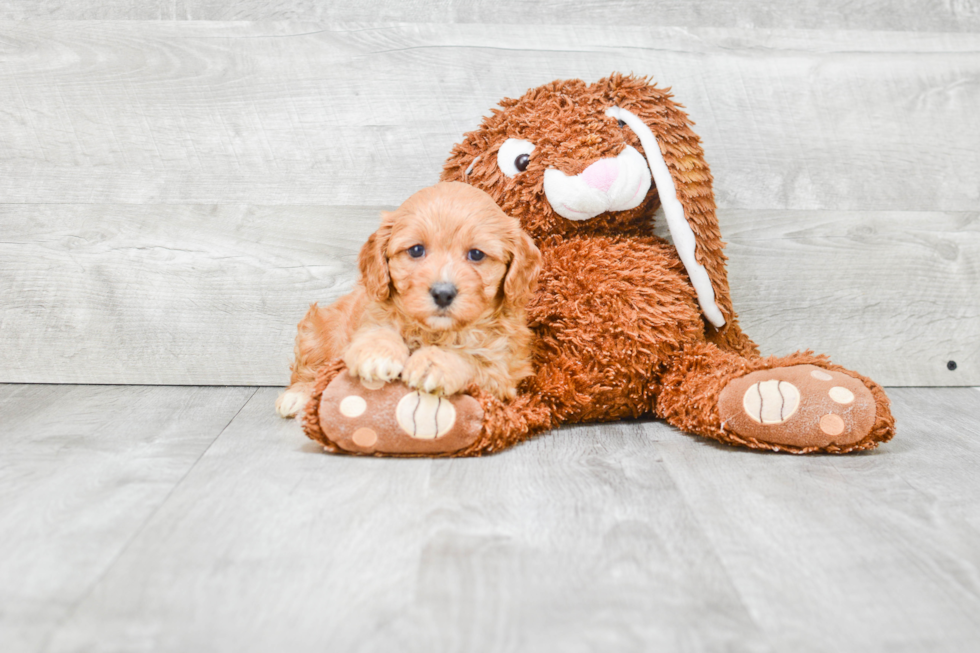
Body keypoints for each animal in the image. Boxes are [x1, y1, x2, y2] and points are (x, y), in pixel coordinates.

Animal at [276, 182, 540, 418]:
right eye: (416, 250)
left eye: (476, 254)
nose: (443, 293)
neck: (435, 332)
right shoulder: (372, 315)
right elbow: (378, 330)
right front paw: (377, 354)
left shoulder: (502, 371)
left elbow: (471, 358)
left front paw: (434, 363)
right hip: (316, 332)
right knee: (308, 370)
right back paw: (296, 396)